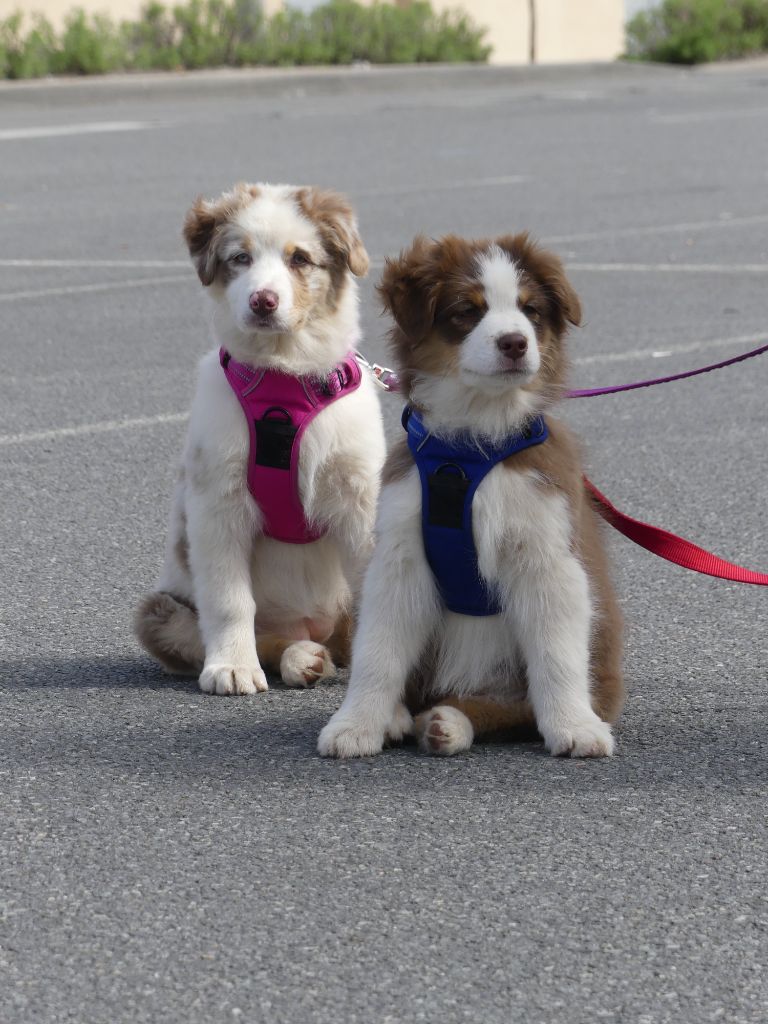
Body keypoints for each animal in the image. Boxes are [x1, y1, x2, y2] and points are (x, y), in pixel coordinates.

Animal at [136, 184, 387, 696]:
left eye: (300, 259)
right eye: (240, 258)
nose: (263, 301)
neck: (284, 377)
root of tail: (309, 626)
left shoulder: (360, 496)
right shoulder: (218, 501)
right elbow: (230, 599)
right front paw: (231, 667)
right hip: (158, 610)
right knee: (266, 638)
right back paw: (300, 658)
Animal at [319, 234, 626, 761]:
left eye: (530, 310)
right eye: (467, 310)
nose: (515, 343)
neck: (473, 445)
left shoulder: (549, 554)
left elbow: (557, 655)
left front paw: (575, 727)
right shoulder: (399, 556)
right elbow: (378, 651)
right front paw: (355, 725)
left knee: (511, 708)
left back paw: (450, 722)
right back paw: (408, 718)